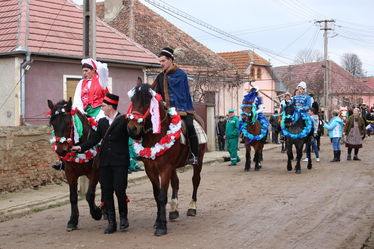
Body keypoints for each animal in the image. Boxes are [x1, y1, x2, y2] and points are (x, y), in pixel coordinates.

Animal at [46, 99, 102, 231]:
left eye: (68, 124)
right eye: (52, 123)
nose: (61, 151)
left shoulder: (95, 173)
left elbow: (89, 195)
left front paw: (97, 213)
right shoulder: (70, 174)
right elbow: (73, 197)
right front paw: (73, 221)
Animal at [127, 83, 206, 235]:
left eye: (147, 102)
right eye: (132, 100)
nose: (132, 128)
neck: (155, 136)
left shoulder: (165, 169)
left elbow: (162, 196)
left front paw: (161, 226)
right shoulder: (151, 170)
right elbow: (157, 195)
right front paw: (158, 220)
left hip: (198, 161)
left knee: (195, 181)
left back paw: (192, 207)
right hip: (173, 167)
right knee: (176, 183)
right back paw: (174, 210)